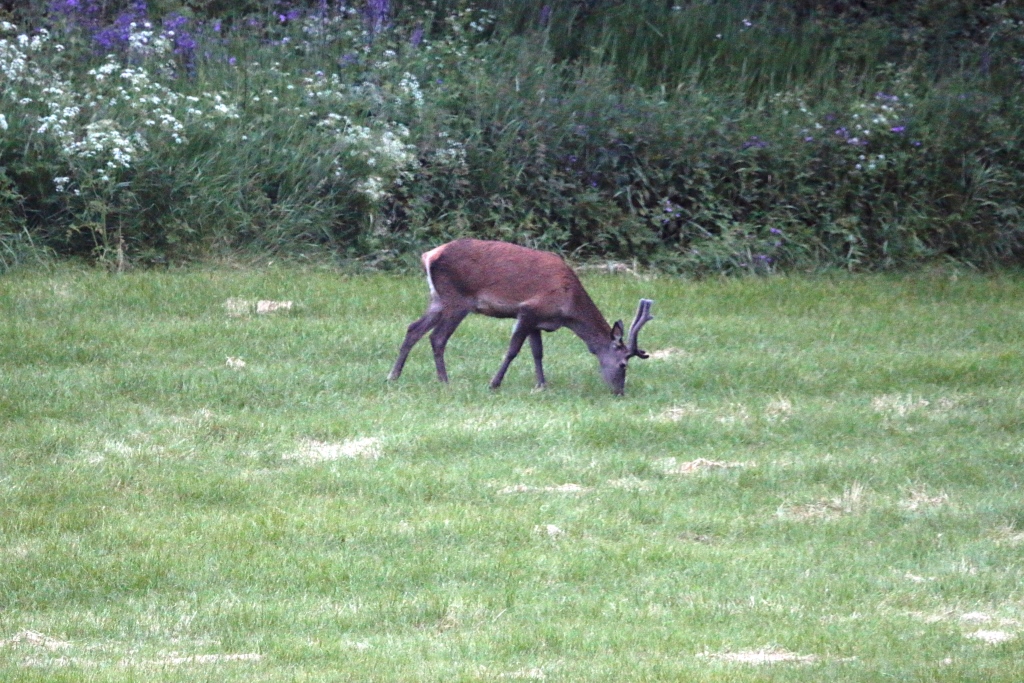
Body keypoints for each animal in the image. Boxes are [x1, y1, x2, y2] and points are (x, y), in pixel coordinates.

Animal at [385, 237, 655, 395]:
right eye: (623, 364)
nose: (619, 392)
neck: (568, 308)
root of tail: (429, 255)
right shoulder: (527, 311)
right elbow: (513, 350)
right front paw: (494, 383)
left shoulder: (538, 321)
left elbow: (537, 352)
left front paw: (541, 385)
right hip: (457, 299)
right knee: (437, 337)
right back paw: (444, 381)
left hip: (438, 299)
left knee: (413, 328)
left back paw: (393, 376)